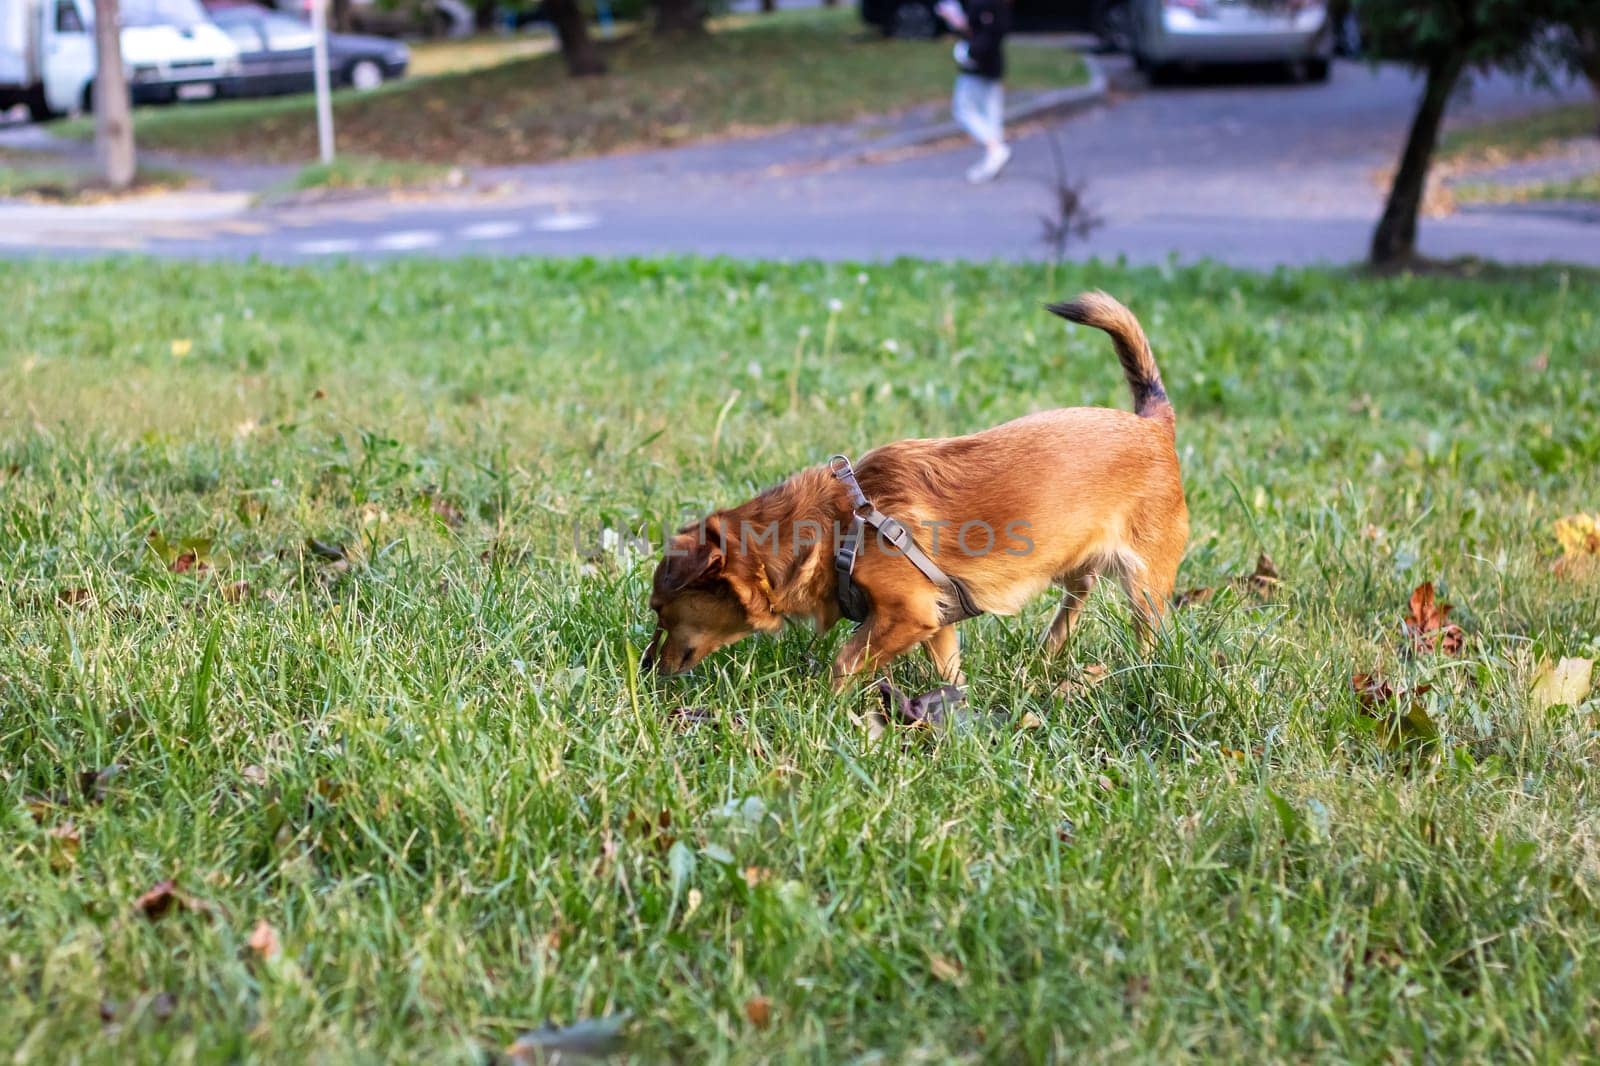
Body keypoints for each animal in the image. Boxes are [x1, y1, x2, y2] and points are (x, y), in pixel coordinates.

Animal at [646, 292, 1190, 688]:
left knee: (1149, 630)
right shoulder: (936, 616)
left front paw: (826, 708)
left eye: (659, 612)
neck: (839, 525)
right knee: (1076, 598)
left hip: (1145, 582)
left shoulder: (906, 612)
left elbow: (844, 663)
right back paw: (1046, 655)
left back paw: (1141, 672)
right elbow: (948, 668)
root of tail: (1153, 423)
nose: (648, 667)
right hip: (1076, 562)